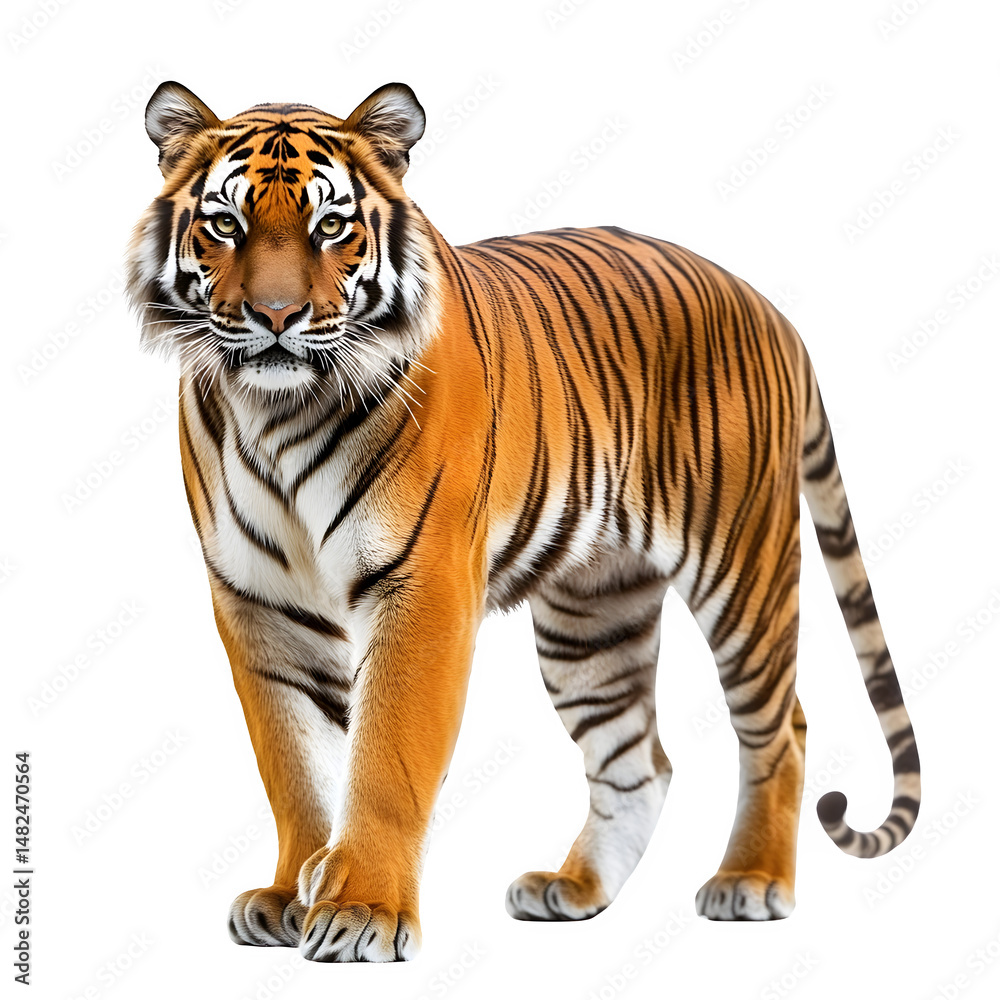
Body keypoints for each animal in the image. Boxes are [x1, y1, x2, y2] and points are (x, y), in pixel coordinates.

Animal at [125, 80, 921, 963]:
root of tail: (771, 309)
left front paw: (363, 909)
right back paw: (574, 889)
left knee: (783, 729)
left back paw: (750, 881)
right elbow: (292, 763)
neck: (277, 410)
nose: (274, 315)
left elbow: (386, 758)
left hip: (741, 567)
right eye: (225, 224)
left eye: (329, 226)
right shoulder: (258, 601)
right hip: (593, 615)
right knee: (640, 760)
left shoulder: (422, 584)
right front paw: (288, 893)